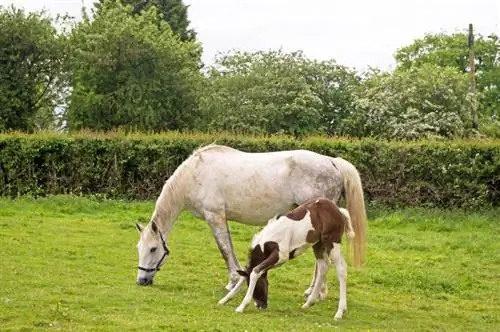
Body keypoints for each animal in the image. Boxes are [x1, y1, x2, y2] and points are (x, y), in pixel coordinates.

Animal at [134, 143, 368, 294]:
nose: (142, 280)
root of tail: (332, 162)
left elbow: (225, 250)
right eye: (139, 248)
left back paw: (316, 291)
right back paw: (313, 290)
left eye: (153, 249)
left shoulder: (215, 217)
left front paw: (232, 282)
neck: (195, 175)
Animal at [219, 198, 356, 320]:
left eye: (258, 286)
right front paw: (224, 300)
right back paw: (308, 303)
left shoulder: (281, 256)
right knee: (323, 267)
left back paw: (339, 312)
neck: (267, 241)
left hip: (332, 242)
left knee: (341, 268)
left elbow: (255, 271)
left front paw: (241, 306)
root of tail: (339, 210)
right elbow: (248, 272)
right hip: (318, 244)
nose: (261, 306)